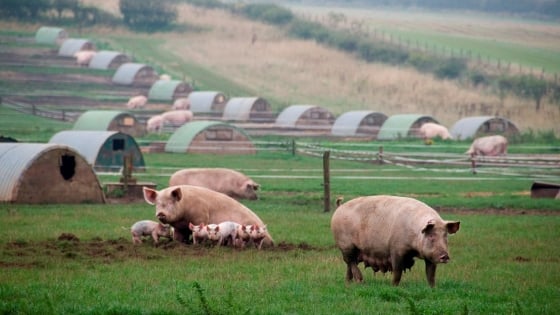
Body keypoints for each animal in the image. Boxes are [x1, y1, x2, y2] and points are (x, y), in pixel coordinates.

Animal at [142, 185, 274, 247]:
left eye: (170, 202)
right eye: (158, 204)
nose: (160, 213)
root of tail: (272, 240)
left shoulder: (201, 216)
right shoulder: (179, 227)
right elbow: (179, 238)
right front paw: (179, 245)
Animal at [330, 196, 458, 288]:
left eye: (445, 235)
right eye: (431, 236)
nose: (445, 256)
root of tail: (340, 207)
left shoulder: (430, 257)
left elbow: (431, 274)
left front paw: (433, 288)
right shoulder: (396, 250)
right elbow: (397, 271)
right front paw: (394, 287)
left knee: (349, 265)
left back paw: (348, 283)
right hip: (346, 245)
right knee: (351, 262)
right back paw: (360, 281)